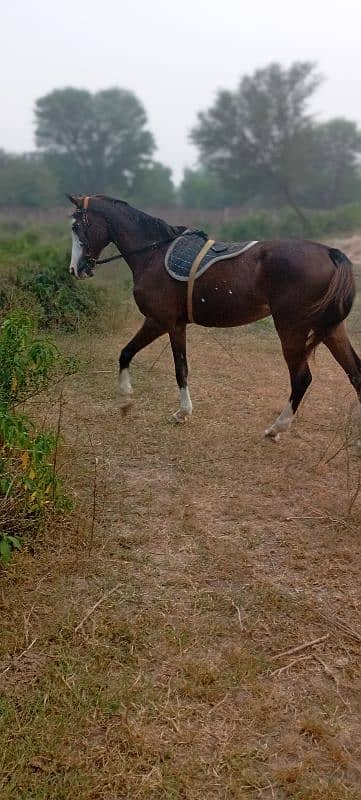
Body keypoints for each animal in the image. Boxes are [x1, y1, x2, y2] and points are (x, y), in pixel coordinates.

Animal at [68, 196, 360, 440]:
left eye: (77, 227)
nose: (75, 269)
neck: (153, 254)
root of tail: (330, 253)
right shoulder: (175, 325)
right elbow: (173, 366)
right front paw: (176, 412)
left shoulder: (160, 322)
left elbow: (135, 356)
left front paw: (131, 403)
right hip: (331, 329)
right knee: (355, 373)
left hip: (291, 329)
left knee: (302, 379)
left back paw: (276, 428)